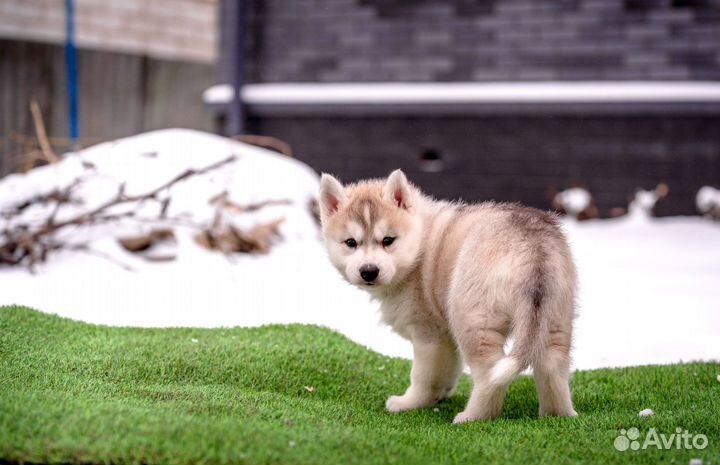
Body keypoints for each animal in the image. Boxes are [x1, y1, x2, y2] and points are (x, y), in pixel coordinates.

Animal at [318, 169, 576, 420]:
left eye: (388, 240)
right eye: (351, 242)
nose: (369, 271)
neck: (419, 246)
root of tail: (533, 248)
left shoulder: (429, 336)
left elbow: (424, 377)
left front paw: (411, 403)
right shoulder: (445, 336)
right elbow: (447, 371)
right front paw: (441, 395)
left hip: (473, 320)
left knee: (489, 374)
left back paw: (472, 417)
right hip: (554, 317)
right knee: (552, 366)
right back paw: (557, 416)